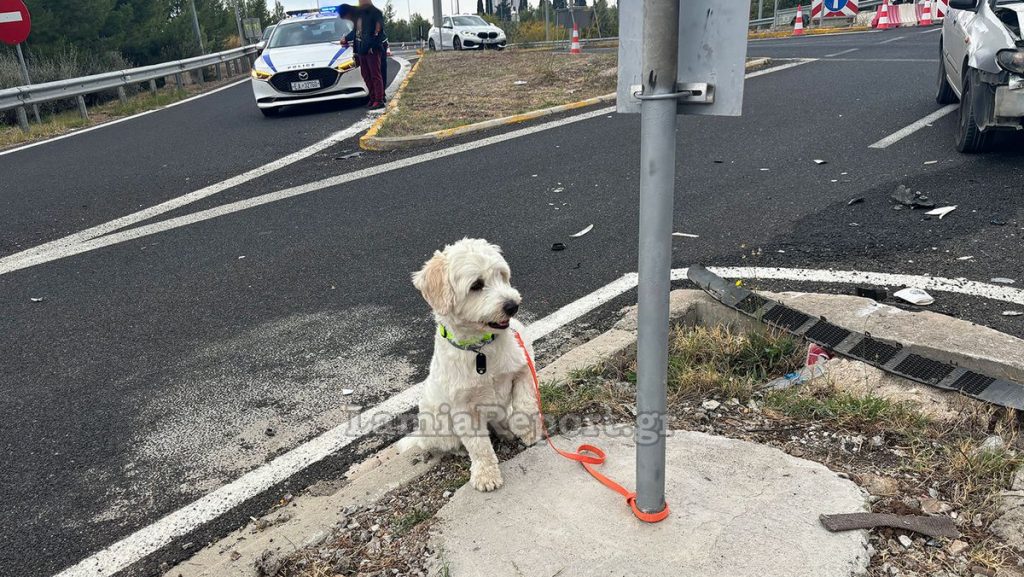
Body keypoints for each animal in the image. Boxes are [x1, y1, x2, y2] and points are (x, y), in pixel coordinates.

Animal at [395, 237, 544, 491]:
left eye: (502, 275)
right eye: (476, 285)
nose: (512, 305)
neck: (480, 349)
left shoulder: (523, 366)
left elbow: (525, 404)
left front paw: (527, 431)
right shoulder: (464, 408)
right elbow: (478, 445)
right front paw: (486, 475)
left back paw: (507, 431)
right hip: (440, 427)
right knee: (448, 444)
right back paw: (460, 451)